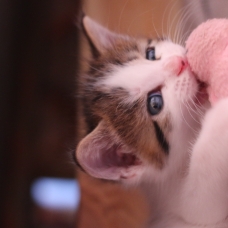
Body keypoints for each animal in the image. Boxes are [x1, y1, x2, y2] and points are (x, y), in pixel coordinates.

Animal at [75, 15, 228, 227]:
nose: (179, 62)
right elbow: (202, 200)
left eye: (150, 53)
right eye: (155, 103)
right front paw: (221, 113)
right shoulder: (188, 209)